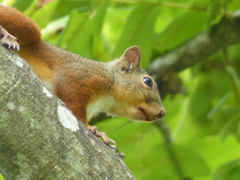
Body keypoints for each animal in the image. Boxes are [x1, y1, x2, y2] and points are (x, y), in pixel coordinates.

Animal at [0, 4, 166, 145]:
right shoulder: (80, 75)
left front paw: (102, 136)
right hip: (28, 28)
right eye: (148, 81)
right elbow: (72, 97)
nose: (162, 113)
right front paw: (89, 126)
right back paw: (6, 35)